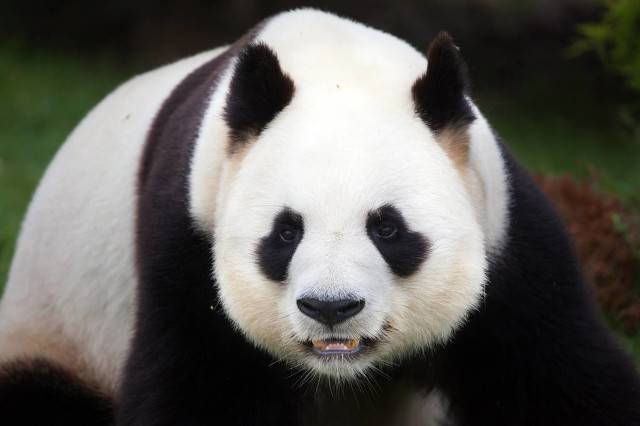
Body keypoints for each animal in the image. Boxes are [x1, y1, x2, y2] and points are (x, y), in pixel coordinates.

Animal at [1, 9, 640, 426]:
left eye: (387, 227)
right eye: (285, 233)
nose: (332, 308)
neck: (333, 67)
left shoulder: (506, 235)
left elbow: (559, 377)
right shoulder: (187, 241)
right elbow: (199, 388)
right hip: (57, 327)